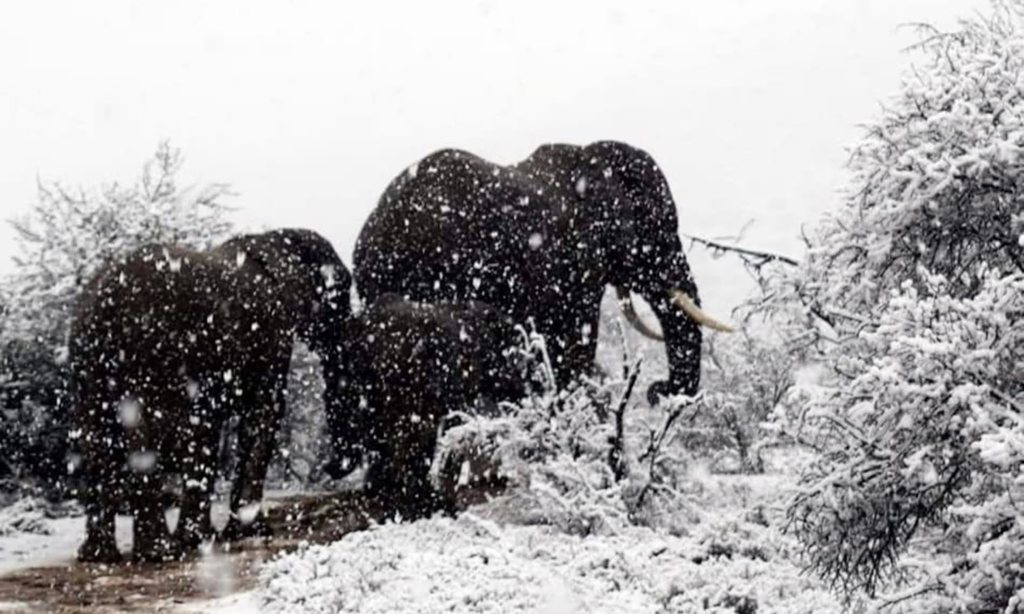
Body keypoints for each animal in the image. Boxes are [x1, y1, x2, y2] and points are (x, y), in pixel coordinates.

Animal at [71, 229, 352, 560]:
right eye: (342, 291)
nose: (329, 468)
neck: (273, 239)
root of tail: (103, 302)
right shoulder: (271, 336)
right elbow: (262, 414)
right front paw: (247, 532)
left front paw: (210, 536)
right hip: (149, 355)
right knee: (142, 437)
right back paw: (162, 552)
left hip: (88, 363)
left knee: (96, 439)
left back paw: (99, 555)